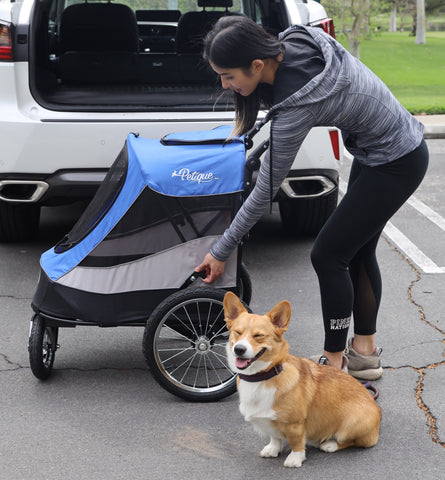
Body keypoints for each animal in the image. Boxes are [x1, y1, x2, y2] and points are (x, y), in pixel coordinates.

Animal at [224, 290, 380, 466]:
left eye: (258, 335)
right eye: (237, 332)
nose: (239, 349)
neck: (261, 376)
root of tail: (377, 411)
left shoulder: (295, 424)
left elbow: (296, 443)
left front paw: (295, 459)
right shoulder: (271, 421)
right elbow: (274, 437)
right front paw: (273, 449)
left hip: (351, 425)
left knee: (353, 441)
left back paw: (330, 444)